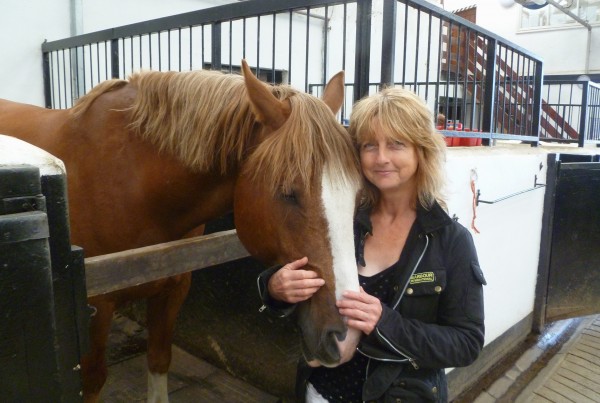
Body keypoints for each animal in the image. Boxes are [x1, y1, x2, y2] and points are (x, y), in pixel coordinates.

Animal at [0, 60, 360, 403]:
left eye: (357, 192)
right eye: (288, 193)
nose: (344, 336)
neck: (131, 182)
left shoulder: (173, 287)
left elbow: (159, 359)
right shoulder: (96, 308)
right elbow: (93, 381)